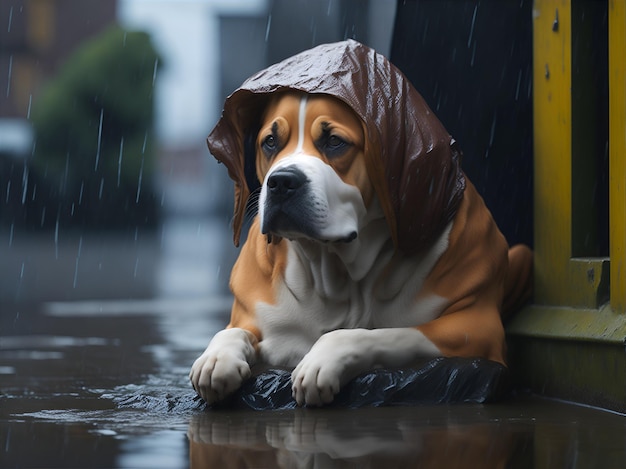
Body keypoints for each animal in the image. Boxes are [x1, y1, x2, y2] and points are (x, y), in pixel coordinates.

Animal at [188, 40, 528, 406]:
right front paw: (216, 357)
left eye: (334, 142)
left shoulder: (474, 329)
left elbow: (383, 334)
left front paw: (323, 360)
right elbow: (233, 330)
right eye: (270, 142)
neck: (340, 272)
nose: (281, 182)